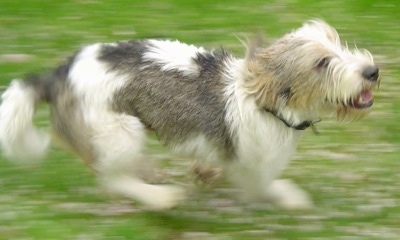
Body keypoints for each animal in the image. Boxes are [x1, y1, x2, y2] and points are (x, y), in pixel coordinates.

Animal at [0, 20, 380, 210]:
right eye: (322, 63)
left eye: (338, 43)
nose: (373, 71)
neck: (267, 101)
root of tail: (59, 74)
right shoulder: (255, 171)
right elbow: (268, 188)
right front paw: (291, 198)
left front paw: (204, 174)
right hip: (120, 131)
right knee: (110, 178)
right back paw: (159, 197)